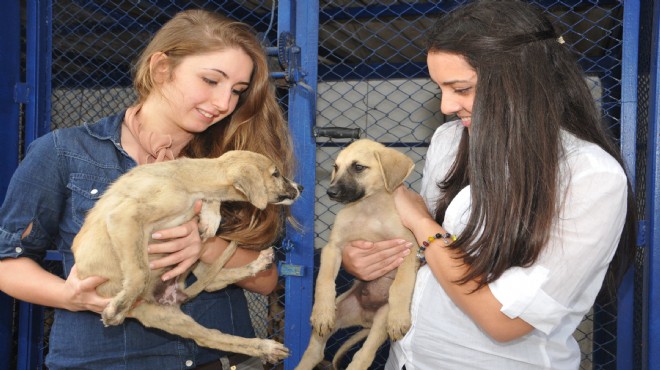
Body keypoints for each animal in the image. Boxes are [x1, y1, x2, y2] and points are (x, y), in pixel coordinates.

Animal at [71, 149, 302, 362]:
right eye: (275, 173)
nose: (301, 188)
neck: (186, 180)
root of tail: (175, 296)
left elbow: (213, 204)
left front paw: (210, 218)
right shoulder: (124, 217)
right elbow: (140, 272)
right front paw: (118, 308)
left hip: (190, 271)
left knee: (213, 302)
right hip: (166, 312)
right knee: (210, 321)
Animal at [298, 139, 420, 370]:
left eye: (358, 167)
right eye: (336, 167)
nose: (331, 192)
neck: (368, 209)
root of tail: (366, 318)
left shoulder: (410, 248)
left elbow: (401, 284)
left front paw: (399, 318)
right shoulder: (333, 248)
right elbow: (324, 280)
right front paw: (321, 312)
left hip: (381, 320)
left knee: (363, 355)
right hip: (340, 311)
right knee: (315, 351)